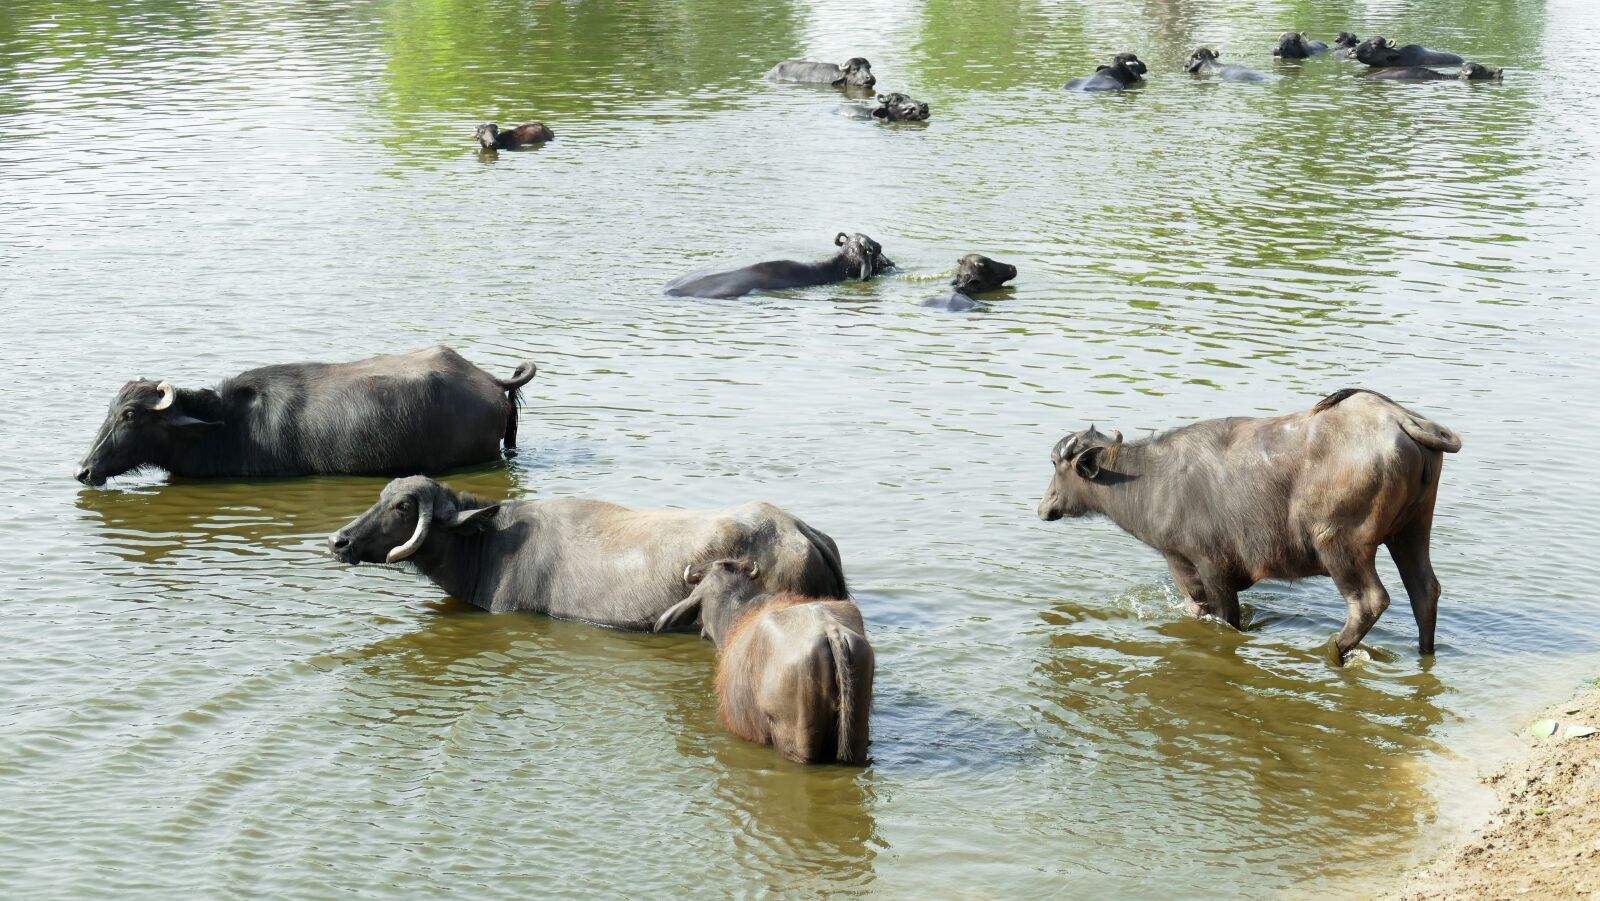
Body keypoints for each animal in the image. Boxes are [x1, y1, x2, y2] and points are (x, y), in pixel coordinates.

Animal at [1037, 389, 1462, 661]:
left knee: (1369, 601)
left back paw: (1333, 650)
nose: (1044, 508)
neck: (1153, 480)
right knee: (1425, 591)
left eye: (1056, 465)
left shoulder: (1205, 565)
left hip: (1341, 544)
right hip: (1411, 530)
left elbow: (1225, 617)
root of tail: (1399, 418)